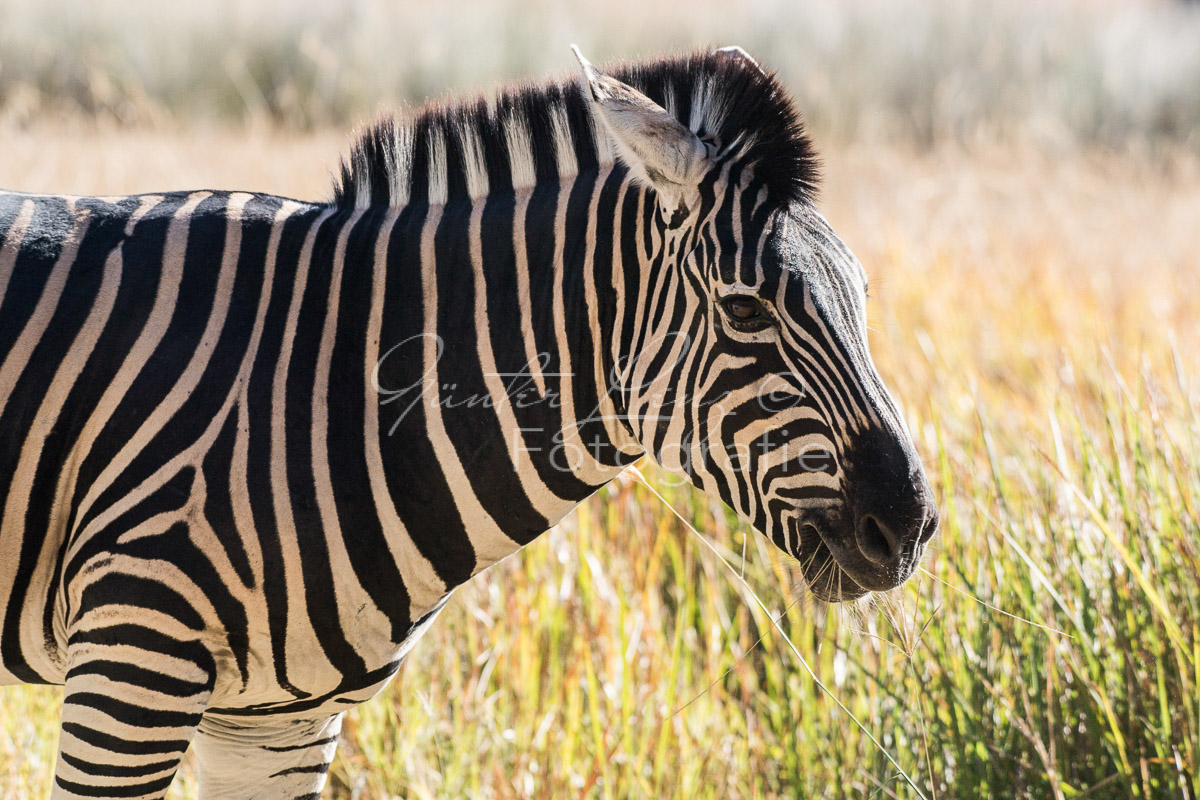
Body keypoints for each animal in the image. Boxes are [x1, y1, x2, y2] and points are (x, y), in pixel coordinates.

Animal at [0, 47, 936, 796]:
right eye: (745, 310)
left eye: (862, 294)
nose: (912, 527)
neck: (336, 391)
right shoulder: (132, 666)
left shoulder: (277, 721)